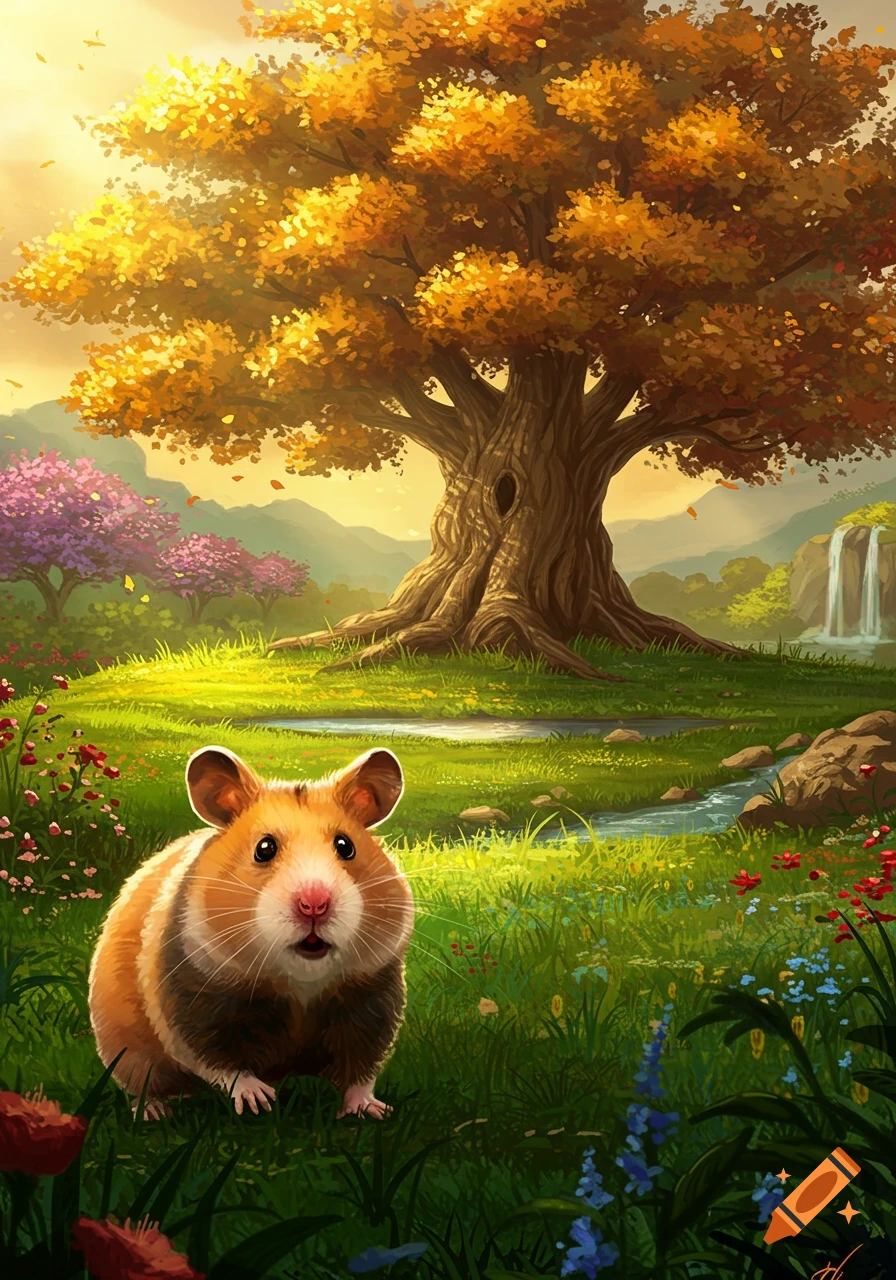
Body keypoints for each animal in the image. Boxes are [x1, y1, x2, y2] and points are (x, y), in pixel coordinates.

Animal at [88, 745, 413, 1120]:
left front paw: (373, 1110)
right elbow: (219, 1061)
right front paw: (259, 1100)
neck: (301, 983)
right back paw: (153, 1113)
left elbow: (361, 1069)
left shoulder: (372, 1004)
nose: (314, 904)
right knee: (146, 1084)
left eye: (345, 846)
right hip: (127, 1051)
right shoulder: (189, 1003)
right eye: (264, 848)